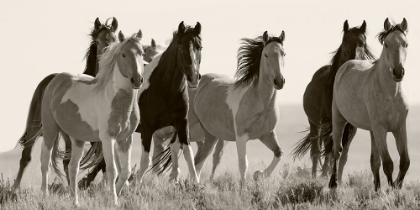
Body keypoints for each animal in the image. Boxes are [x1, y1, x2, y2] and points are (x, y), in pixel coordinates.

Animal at [13, 16, 118, 190]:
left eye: (116, 40)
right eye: (97, 42)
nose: (106, 61)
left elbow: (103, 161)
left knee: (66, 161)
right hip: (36, 125)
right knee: (26, 156)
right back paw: (15, 188)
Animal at [39, 32, 144, 205]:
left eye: (141, 53)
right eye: (123, 54)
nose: (137, 80)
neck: (118, 101)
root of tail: (55, 80)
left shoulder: (125, 139)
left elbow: (125, 171)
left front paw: (116, 194)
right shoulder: (108, 138)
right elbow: (112, 170)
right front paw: (113, 200)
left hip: (77, 138)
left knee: (72, 167)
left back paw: (75, 202)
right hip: (50, 130)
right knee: (45, 163)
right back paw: (45, 197)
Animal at [135, 21, 203, 185]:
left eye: (200, 47)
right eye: (180, 47)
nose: (193, 78)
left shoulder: (181, 124)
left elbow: (188, 154)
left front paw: (196, 183)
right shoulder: (147, 128)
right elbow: (145, 160)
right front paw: (135, 184)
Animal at [290, 20, 376, 179]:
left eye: (362, 43)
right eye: (345, 41)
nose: (353, 61)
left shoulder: (351, 127)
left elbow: (343, 155)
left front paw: (339, 179)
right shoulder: (326, 121)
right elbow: (328, 151)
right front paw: (325, 176)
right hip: (315, 123)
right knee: (317, 150)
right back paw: (315, 176)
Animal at [328, 18, 410, 191]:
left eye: (405, 44)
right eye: (386, 44)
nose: (398, 72)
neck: (390, 94)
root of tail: (347, 64)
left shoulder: (399, 127)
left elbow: (404, 161)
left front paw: (397, 186)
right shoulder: (380, 129)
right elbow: (388, 163)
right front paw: (391, 189)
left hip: (372, 131)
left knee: (374, 161)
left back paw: (377, 187)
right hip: (339, 119)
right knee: (337, 150)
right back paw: (333, 183)